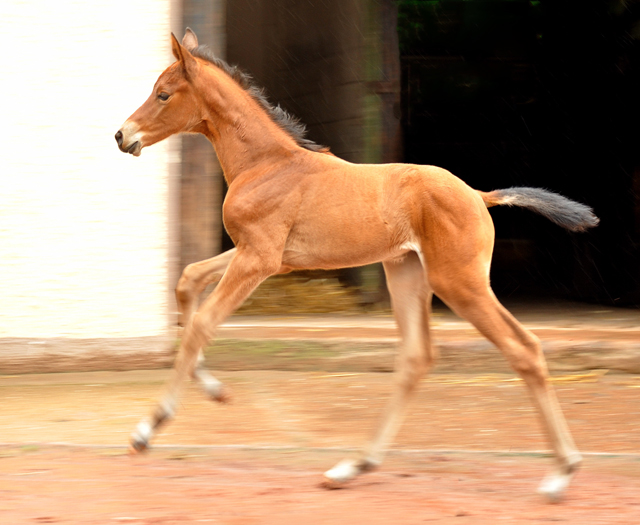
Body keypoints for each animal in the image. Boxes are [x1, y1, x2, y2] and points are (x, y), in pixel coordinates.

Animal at [116, 27, 600, 500]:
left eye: (163, 94)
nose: (123, 135)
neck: (267, 164)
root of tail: (480, 195)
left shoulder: (259, 259)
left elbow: (203, 321)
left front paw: (148, 428)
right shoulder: (265, 257)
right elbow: (187, 280)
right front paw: (215, 391)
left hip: (460, 283)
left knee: (524, 348)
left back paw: (561, 473)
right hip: (406, 273)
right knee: (416, 358)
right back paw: (352, 467)